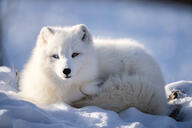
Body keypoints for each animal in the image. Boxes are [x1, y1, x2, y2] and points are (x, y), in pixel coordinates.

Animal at [19, 24, 168, 115]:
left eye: (75, 54)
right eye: (55, 56)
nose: (66, 71)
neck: (64, 88)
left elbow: (86, 87)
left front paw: (95, 85)